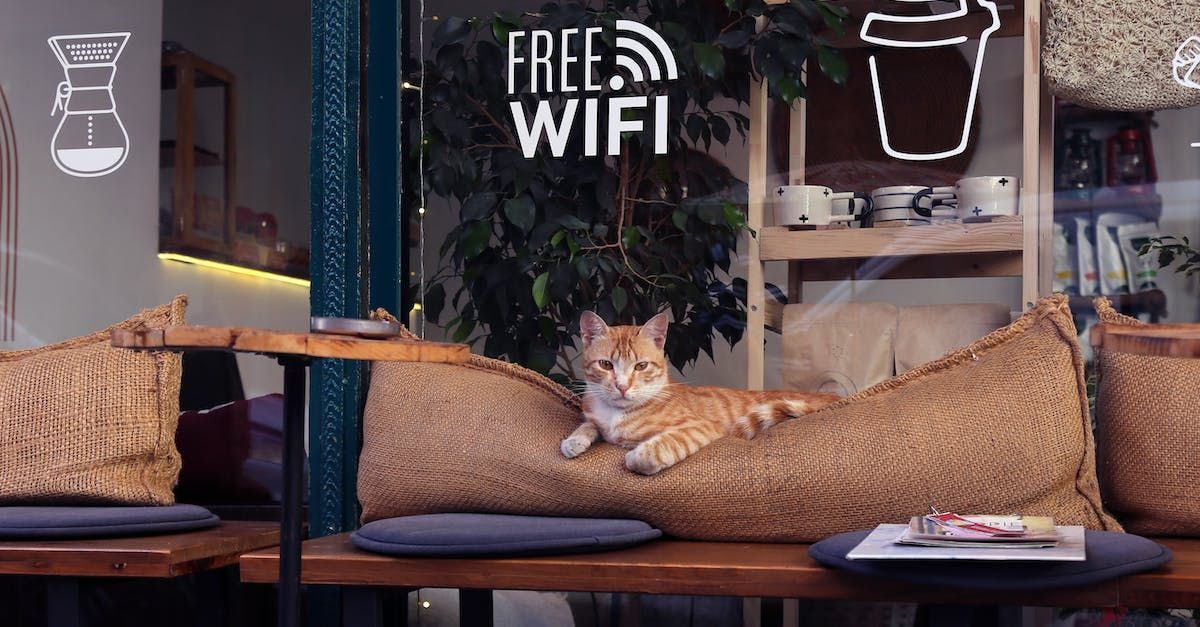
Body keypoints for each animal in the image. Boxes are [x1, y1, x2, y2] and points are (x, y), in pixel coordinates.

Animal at [556, 307, 840, 473]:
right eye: (605, 364)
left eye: (641, 366)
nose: (622, 386)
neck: (615, 413)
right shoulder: (596, 419)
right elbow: (589, 425)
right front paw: (574, 440)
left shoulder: (699, 427)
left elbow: (665, 443)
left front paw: (637, 457)